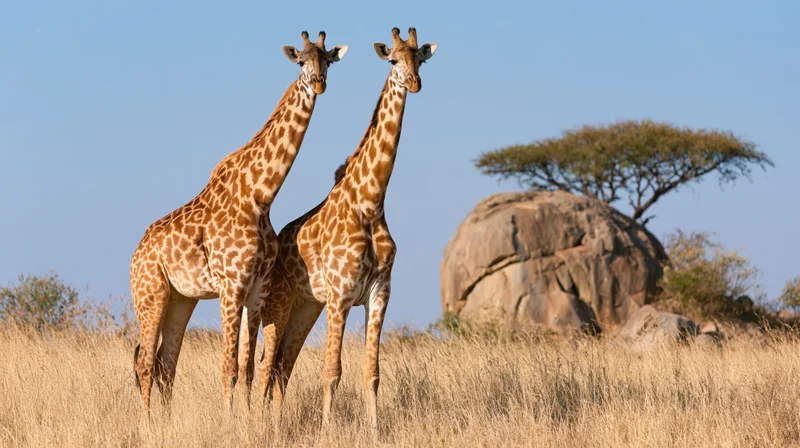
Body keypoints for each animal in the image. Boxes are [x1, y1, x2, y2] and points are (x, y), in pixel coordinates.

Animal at [129, 31, 348, 411]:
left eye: (328, 62)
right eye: (301, 61)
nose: (319, 83)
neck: (260, 195)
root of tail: (134, 257)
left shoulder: (256, 288)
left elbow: (246, 369)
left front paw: (247, 418)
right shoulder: (231, 285)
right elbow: (229, 368)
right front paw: (230, 421)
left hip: (180, 299)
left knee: (164, 364)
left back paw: (165, 421)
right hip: (150, 293)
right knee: (144, 362)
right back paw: (147, 423)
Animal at [256, 27, 437, 437]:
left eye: (420, 58)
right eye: (393, 60)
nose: (414, 83)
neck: (369, 202)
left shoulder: (379, 293)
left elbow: (372, 373)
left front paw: (375, 432)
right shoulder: (339, 295)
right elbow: (332, 371)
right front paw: (327, 432)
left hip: (306, 306)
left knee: (283, 366)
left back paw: (276, 424)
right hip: (278, 301)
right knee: (265, 365)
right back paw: (259, 425)